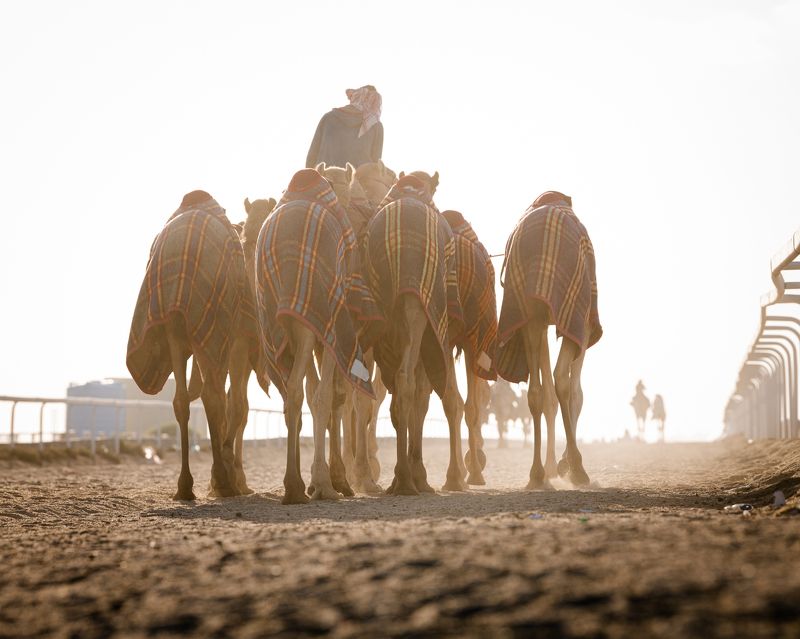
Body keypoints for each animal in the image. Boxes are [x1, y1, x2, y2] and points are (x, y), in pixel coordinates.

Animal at [127, 190, 244, 500]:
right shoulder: (226, 334)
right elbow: (223, 399)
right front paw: (223, 476)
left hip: (174, 324)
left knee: (181, 399)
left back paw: (185, 485)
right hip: (208, 325)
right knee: (213, 396)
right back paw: (222, 481)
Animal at [254, 168, 373, 504]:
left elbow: (318, 394)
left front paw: (326, 479)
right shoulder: (328, 325)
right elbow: (329, 396)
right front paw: (331, 481)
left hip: (286, 324)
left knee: (294, 392)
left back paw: (294, 484)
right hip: (310, 321)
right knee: (310, 392)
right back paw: (310, 484)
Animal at [495, 191, 602, 488]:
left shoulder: (540, 319)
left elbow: (547, 398)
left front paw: (553, 466)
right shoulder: (584, 323)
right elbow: (577, 393)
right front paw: (564, 464)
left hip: (529, 311)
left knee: (536, 391)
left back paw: (537, 474)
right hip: (571, 313)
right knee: (562, 378)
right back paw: (577, 468)